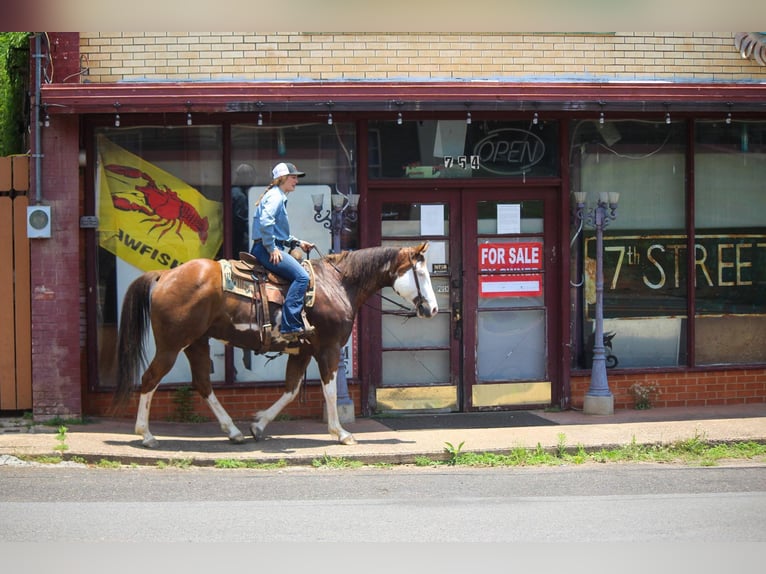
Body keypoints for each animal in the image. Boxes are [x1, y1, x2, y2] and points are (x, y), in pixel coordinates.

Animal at [112, 243, 438, 450]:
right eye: (421, 273)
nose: (432, 309)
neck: (337, 284)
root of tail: (164, 275)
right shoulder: (329, 349)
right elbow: (331, 391)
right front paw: (341, 433)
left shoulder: (303, 352)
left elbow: (291, 390)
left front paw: (258, 426)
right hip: (172, 345)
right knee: (149, 380)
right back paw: (146, 435)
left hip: (196, 343)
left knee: (203, 384)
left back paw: (233, 431)